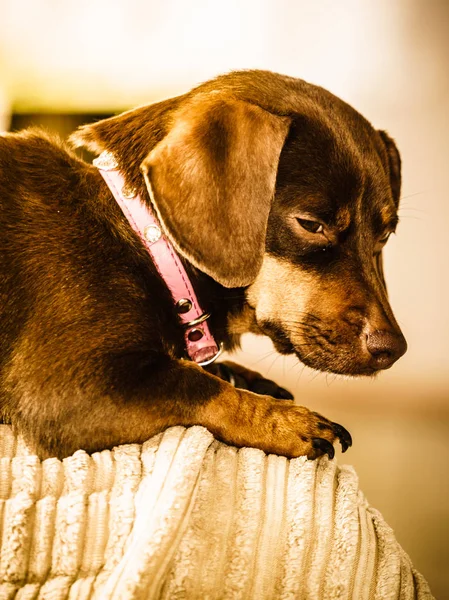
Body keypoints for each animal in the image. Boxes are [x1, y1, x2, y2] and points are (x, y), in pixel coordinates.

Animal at [0, 70, 406, 460]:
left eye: (386, 235)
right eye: (311, 224)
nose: (394, 350)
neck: (142, 237)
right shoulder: (68, 389)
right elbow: (198, 385)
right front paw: (287, 421)